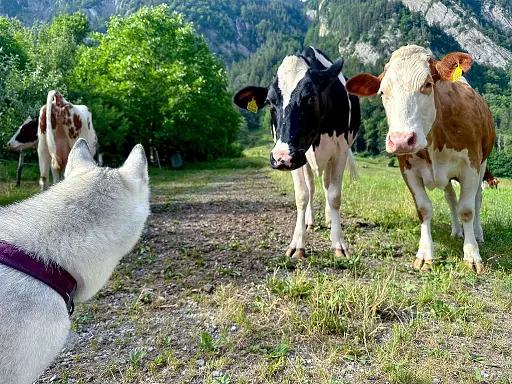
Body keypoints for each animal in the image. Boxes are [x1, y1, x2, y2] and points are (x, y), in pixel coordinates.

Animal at [233, 46, 360, 260]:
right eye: (269, 102)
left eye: (311, 97)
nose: (281, 157)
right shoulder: (295, 159)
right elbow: (302, 195)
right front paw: (298, 243)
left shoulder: (341, 149)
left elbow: (334, 195)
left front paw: (338, 243)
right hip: (303, 160)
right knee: (312, 187)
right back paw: (310, 221)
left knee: (326, 185)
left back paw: (328, 219)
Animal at [346, 45, 494, 272]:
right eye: (382, 91)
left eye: (427, 84)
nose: (400, 140)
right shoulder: (408, 170)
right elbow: (424, 209)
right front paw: (425, 254)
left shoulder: (471, 167)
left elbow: (467, 210)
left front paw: (471, 255)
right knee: (451, 198)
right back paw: (456, 231)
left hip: (483, 163)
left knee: (477, 200)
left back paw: (477, 234)